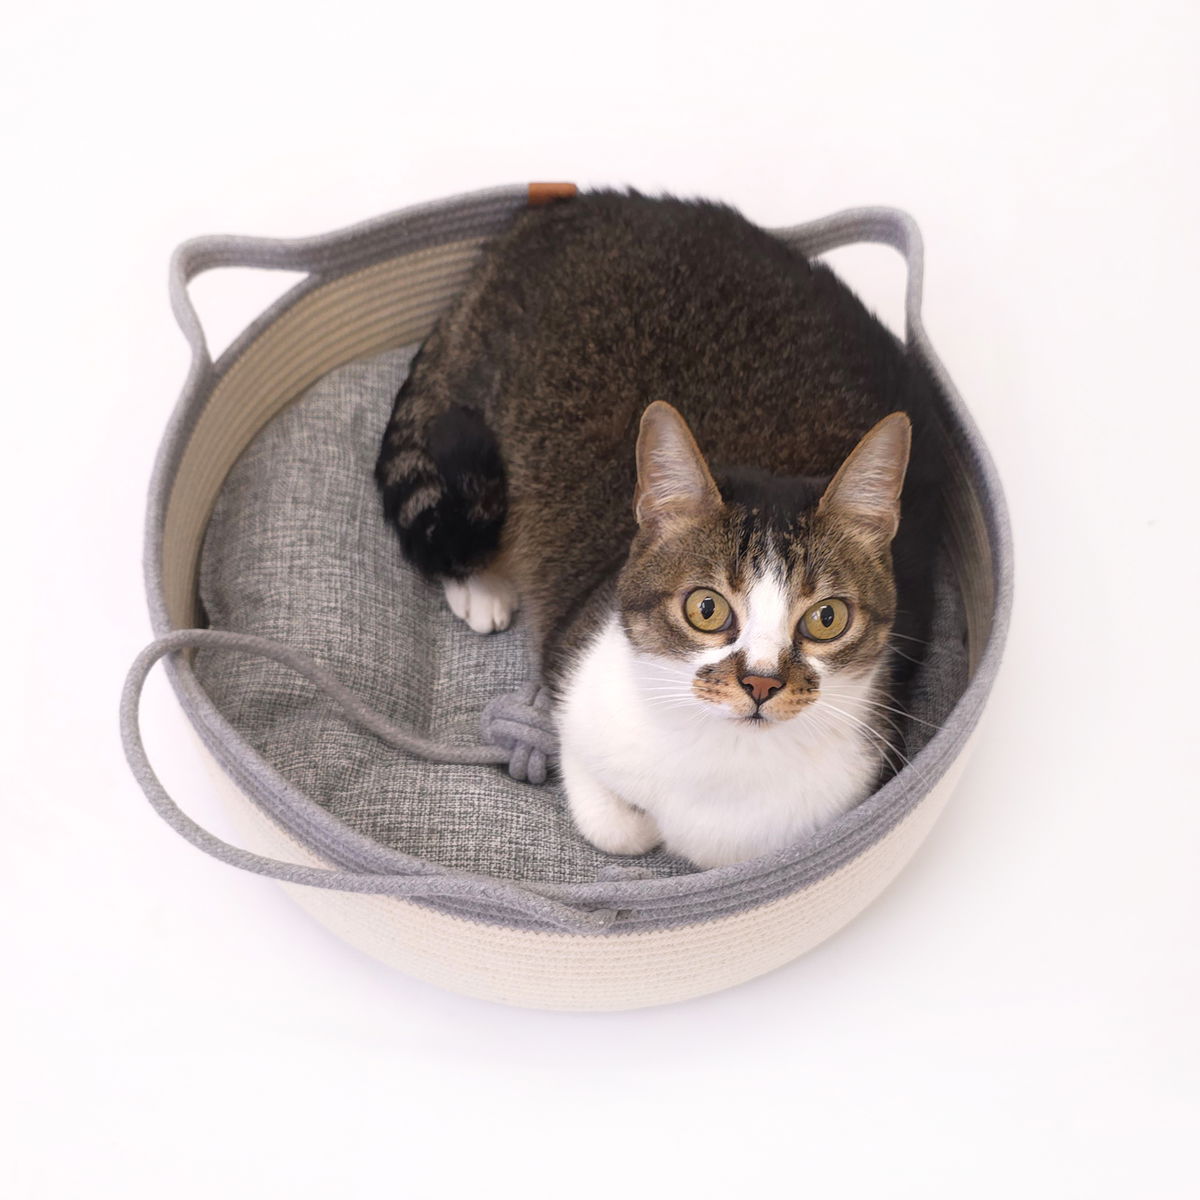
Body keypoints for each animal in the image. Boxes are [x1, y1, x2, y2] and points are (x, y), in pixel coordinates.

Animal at [375, 189, 941, 869]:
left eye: (826, 618)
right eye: (706, 608)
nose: (760, 681)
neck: (724, 770)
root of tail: (567, 204)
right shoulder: (575, 682)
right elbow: (613, 823)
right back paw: (482, 586)